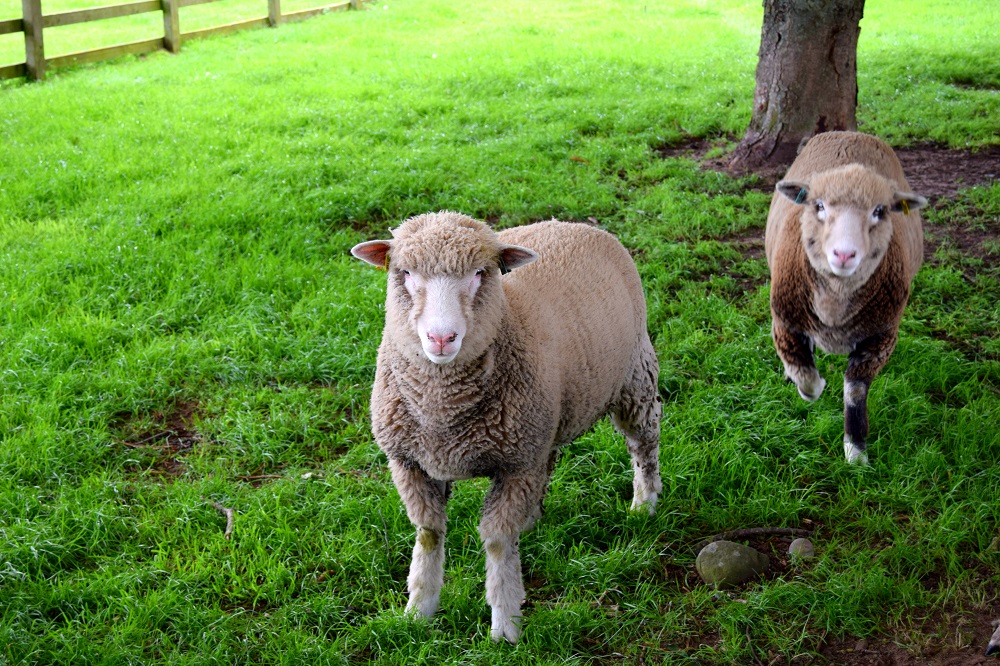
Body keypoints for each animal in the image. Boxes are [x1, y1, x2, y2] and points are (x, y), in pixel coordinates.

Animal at [351, 212, 662, 643]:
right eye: (405, 272)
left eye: (481, 273)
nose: (441, 337)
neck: (441, 409)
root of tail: (571, 223)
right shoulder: (410, 462)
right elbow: (429, 533)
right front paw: (418, 612)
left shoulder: (516, 465)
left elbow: (497, 541)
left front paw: (505, 625)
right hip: (546, 421)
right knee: (549, 463)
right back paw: (531, 521)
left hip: (635, 378)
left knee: (644, 445)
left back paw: (644, 504)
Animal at [765, 131, 928, 464]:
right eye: (819, 206)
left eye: (880, 211)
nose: (844, 254)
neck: (834, 308)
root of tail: (850, 133)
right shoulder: (784, 322)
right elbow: (806, 377)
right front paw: (812, 387)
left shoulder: (880, 339)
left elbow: (854, 393)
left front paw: (856, 452)